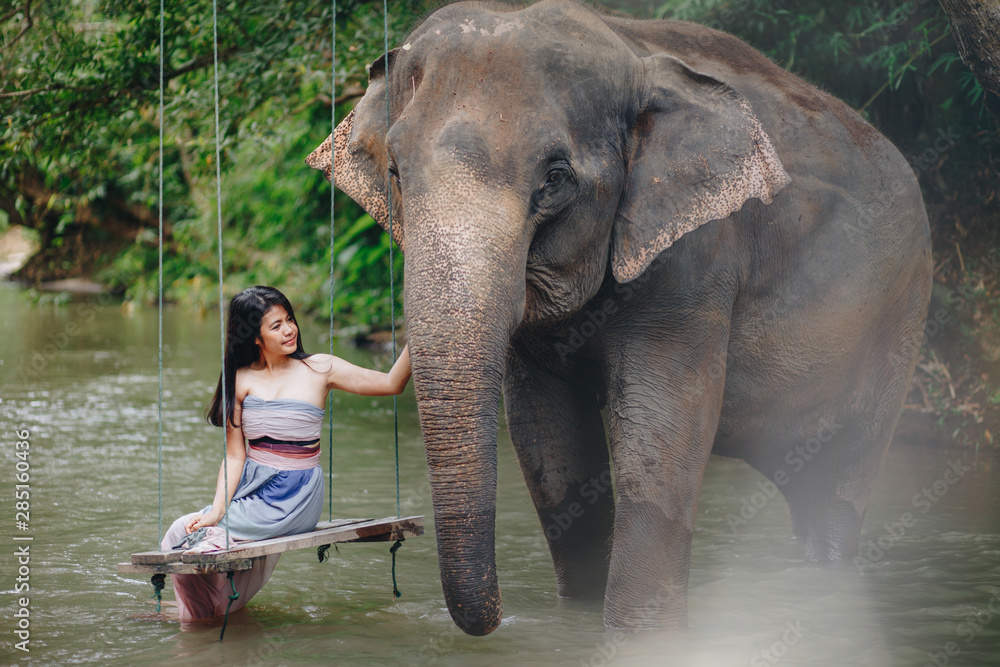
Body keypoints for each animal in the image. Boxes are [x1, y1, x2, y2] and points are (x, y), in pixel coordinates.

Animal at [306, 0, 932, 636]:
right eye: (395, 171)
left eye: (555, 176)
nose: (499, 617)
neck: (627, 51)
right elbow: (549, 442)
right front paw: (579, 618)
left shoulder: (698, 256)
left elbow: (659, 433)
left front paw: (642, 636)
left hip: (899, 318)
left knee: (841, 478)